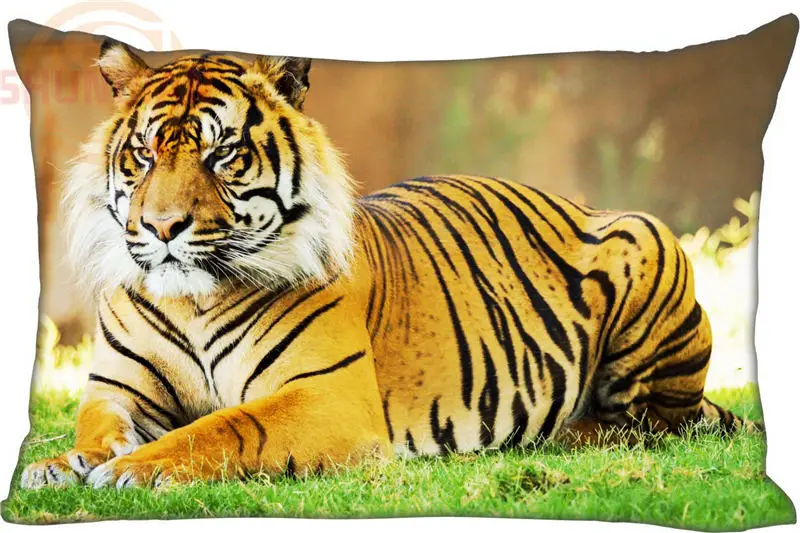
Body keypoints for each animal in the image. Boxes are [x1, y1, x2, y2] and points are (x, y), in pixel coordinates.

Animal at [20, 39, 758, 490]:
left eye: (222, 152)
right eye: (145, 154)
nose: (162, 227)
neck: (193, 299)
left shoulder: (325, 395)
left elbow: (225, 425)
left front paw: (132, 469)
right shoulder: (117, 389)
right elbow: (96, 426)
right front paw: (60, 464)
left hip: (649, 239)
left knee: (645, 423)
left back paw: (558, 433)